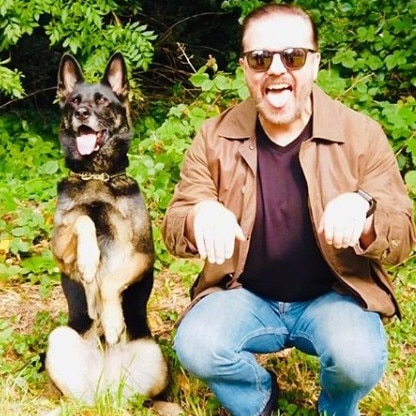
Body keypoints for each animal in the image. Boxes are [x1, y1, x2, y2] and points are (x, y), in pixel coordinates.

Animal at [45, 52, 167, 404]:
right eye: (74, 101)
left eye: (101, 101)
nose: (82, 114)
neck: (97, 176)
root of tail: (107, 385)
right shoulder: (60, 249)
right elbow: (83, 219)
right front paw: (89, 261)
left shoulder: (142, 254)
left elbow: (110, 282)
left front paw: (112, 322)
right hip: (60, 339)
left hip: (155, 356)